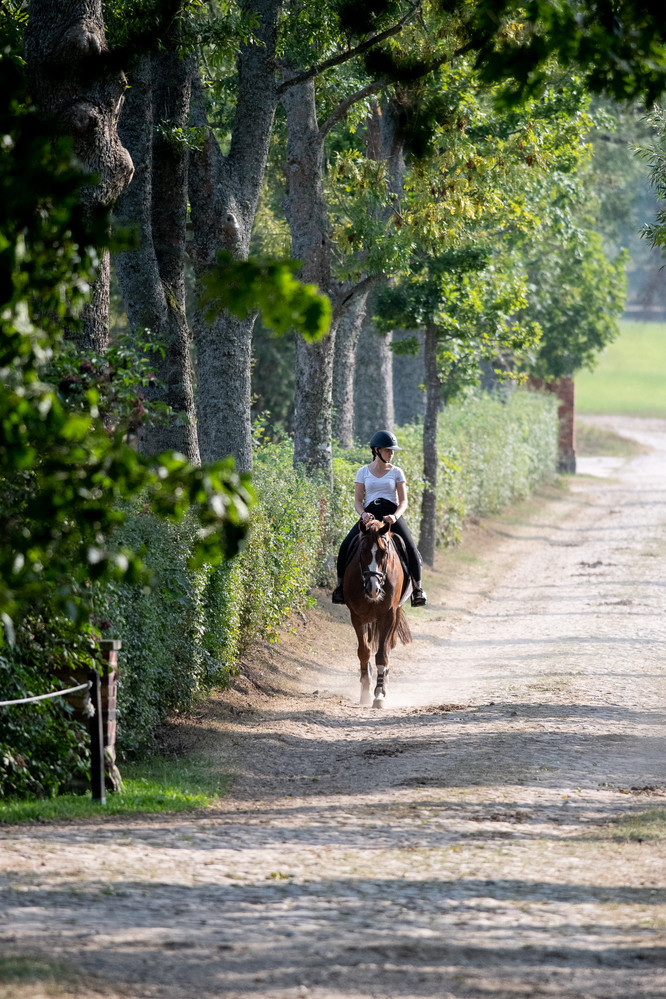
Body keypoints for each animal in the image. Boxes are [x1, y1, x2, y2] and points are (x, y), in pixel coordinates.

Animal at [342, 520, 410, 708]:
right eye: (362, 551)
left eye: (384, 552)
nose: (373, 589)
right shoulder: (357, 616)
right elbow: (364, 652)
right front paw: (365, 690)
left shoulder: (389, 615)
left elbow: (382, 654)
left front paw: (379, 694)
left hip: (396, 613)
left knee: (388, 647)